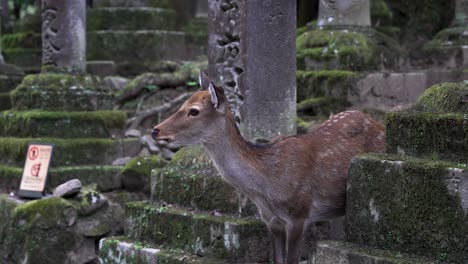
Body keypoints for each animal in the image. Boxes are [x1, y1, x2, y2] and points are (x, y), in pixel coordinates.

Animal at [152, 72, 386, 264]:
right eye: (183, 104)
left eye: (194, 111)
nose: (155, 130)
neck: (266, 188)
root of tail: (379, 124)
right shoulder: (271, 220)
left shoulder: (299, 214)